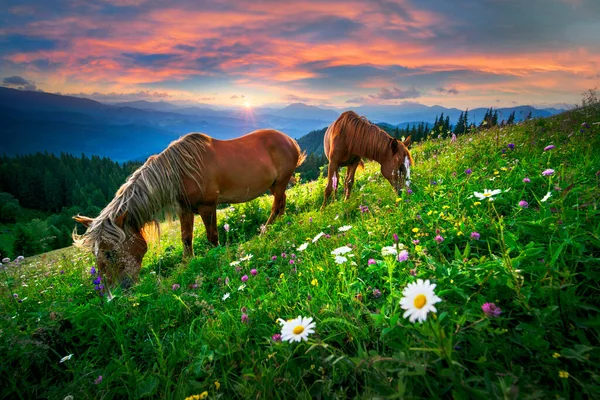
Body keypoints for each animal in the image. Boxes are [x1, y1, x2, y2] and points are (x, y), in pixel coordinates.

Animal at [74, 130, 304, 290]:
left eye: (109, 253)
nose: (115, 292)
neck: (179, 171)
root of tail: (289, 140)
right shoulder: (184, 210)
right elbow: (186, 238)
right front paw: (187, 265)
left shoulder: (207, 207)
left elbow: (212, 237)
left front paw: (217, 259)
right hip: (275, 185)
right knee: (281, 205)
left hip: (281, 182)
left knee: (276, 206)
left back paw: (266, 231)